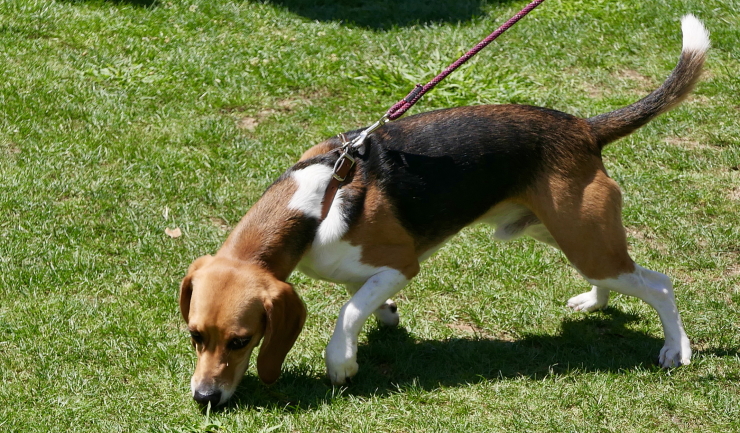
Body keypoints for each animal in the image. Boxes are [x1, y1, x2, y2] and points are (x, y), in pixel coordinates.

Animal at [179, 14, 712, 404]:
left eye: (241, 341)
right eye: (195, 335)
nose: (204, 397)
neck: (316, 203)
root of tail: (584, 128)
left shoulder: (399, 264)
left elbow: (349, 311)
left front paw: (342, 361)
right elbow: (363, 299)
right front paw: (384, 317)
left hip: (585, 240)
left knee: (660, 285)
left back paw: (675, 348)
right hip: (568, 235)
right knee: (624, 276)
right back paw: (596, 302)